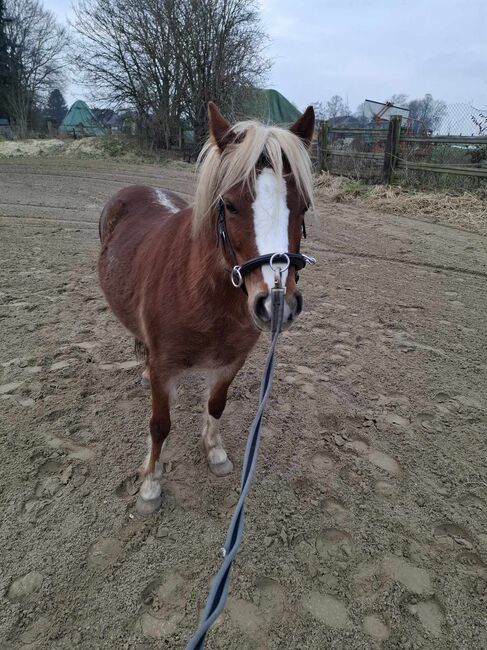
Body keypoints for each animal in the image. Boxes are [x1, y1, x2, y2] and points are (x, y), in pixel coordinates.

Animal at [99, 101, 316, 512]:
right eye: (229, 205)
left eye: (304, 207)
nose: (277, 302)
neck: (204, 296)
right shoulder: (164, 367)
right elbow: (160, 425)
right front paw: (151, 484)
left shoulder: (231, 361)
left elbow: (216, 405)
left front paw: (214, 452)